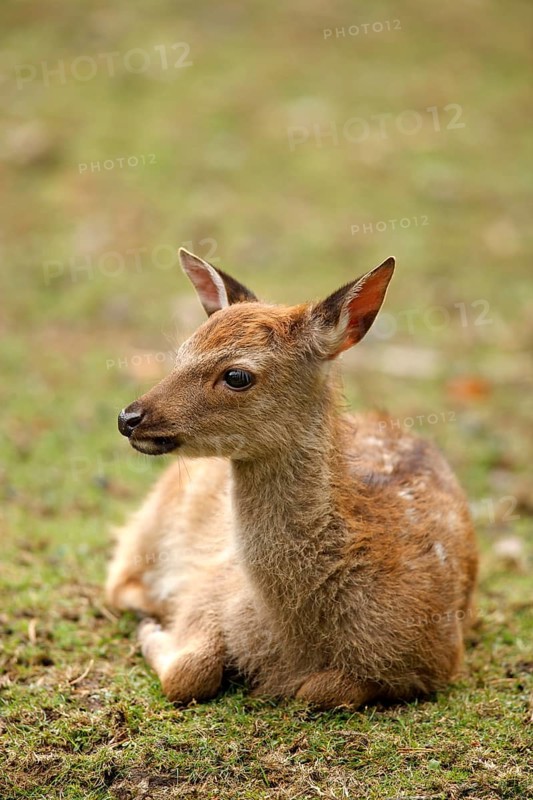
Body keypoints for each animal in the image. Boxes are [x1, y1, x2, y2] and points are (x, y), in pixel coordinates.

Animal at [106, 248, 478, 709]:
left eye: (237, 376)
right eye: (181, 354)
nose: (128, 417)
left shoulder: (437, 657)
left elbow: (319, 690)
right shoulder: (209, 588)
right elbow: (189, 672)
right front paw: (154, 632)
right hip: (154, 518)